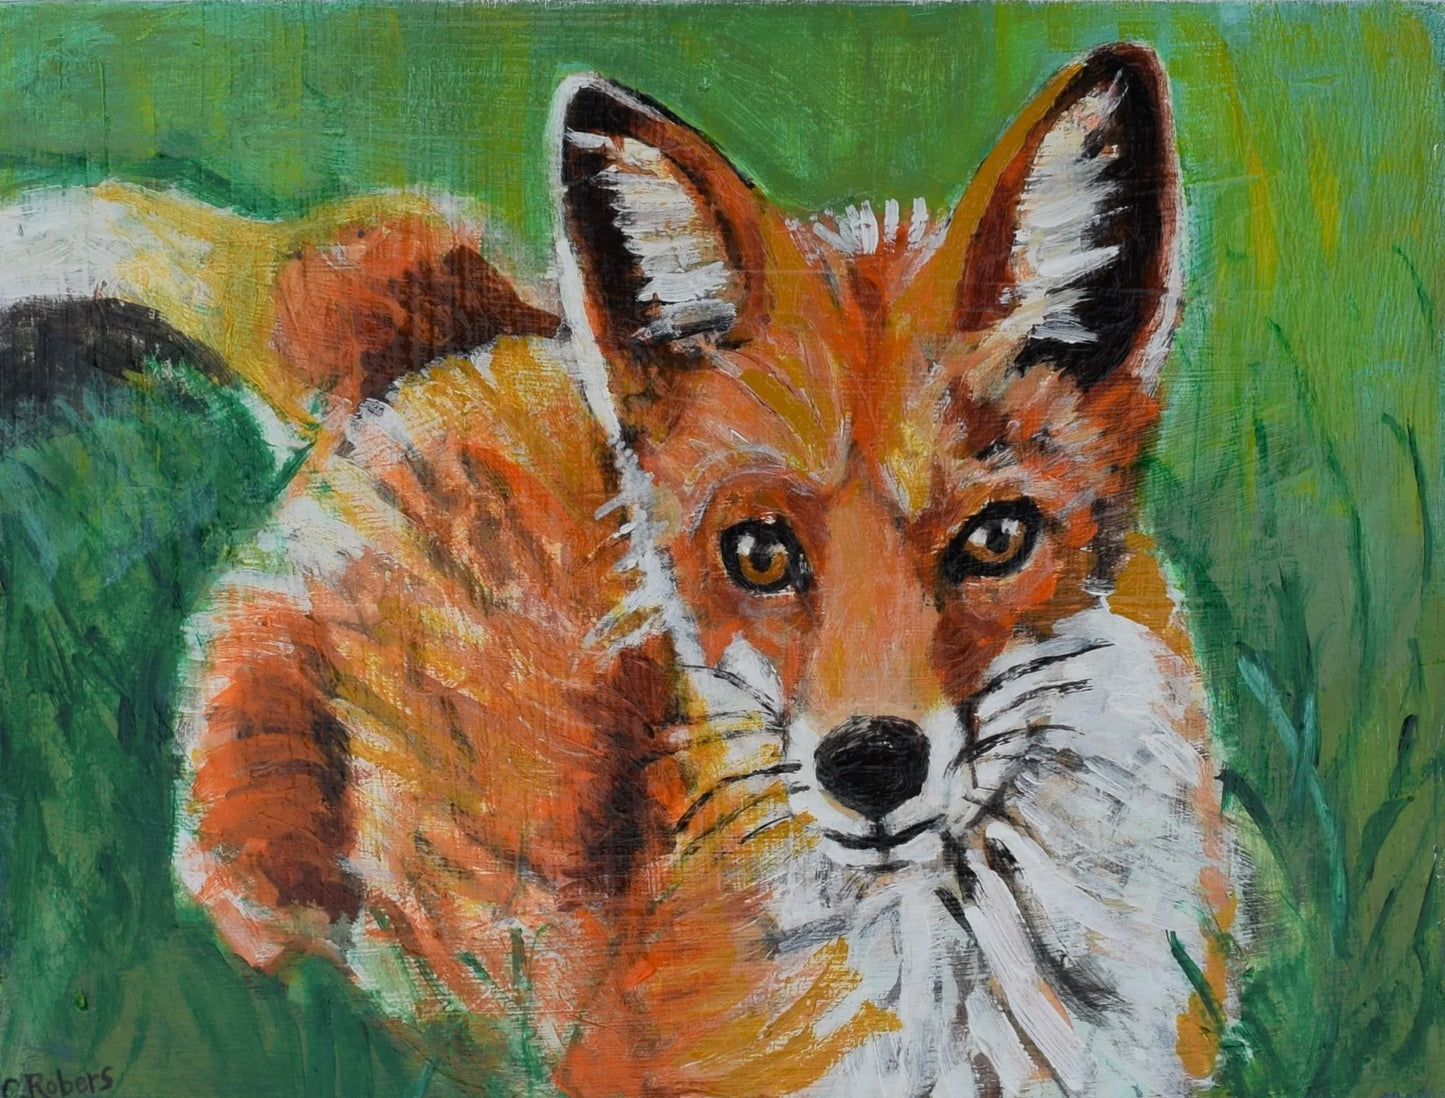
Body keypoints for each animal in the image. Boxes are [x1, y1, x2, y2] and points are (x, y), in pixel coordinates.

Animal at [1, 42, 1239, 1097]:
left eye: (995, 539)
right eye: (757, 552)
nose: (870, 765)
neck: (957, 1002)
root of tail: (430, 351)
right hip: (265, 899)